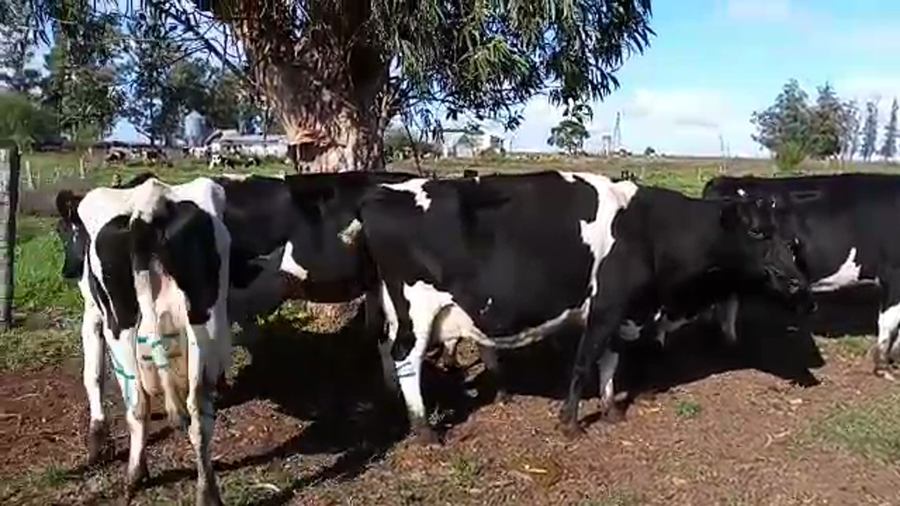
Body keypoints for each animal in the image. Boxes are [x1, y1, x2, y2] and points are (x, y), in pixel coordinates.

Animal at [55, 175, 231, 505]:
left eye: (62, 231)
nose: (67, 271)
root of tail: (149, 205)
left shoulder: (92, 312)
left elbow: (93, 374)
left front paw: (97, 443)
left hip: (119, 324)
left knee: (137, 404)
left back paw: (135, 474)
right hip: (206, 317)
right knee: (198, 409)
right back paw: (207, 492)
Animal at [350, 171, 810, 443]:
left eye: (789, 236)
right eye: (757, 232)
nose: (796, 282)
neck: (647, 229)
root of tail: (380, 193)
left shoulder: (623, 310)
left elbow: (609, 360)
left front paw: (610, 409)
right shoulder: (605, 306)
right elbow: (585, 360)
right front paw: (569, 422)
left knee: (387, 348)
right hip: (416, 309)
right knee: (406, 359)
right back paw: (424, 429)